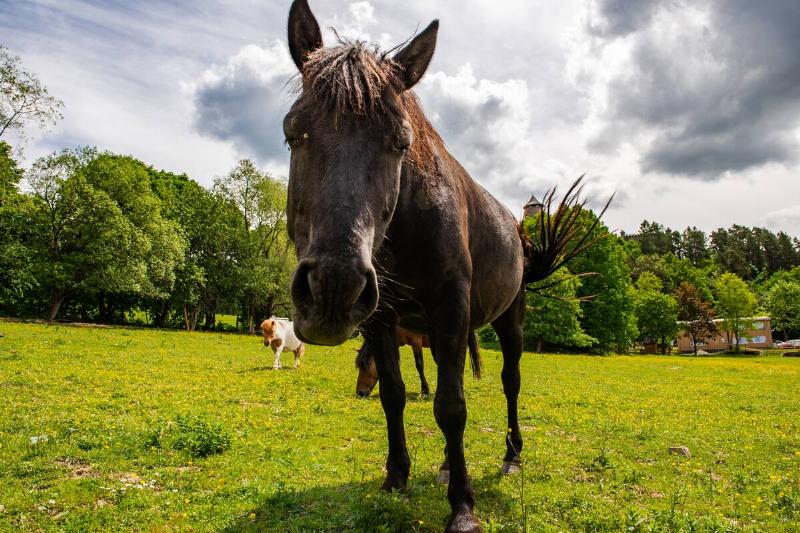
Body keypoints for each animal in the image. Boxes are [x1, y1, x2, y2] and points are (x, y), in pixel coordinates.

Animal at [283, 2, 607, 530]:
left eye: (400, 142)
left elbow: (452, 408)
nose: (333, 289)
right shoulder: (382, 318)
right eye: (292, 133)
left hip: (509, 321)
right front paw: (397, 477)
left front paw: (462, 506)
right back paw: (443, 466)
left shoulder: (450, 308)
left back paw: (511, 455)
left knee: (509, 382)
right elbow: (396, 395)